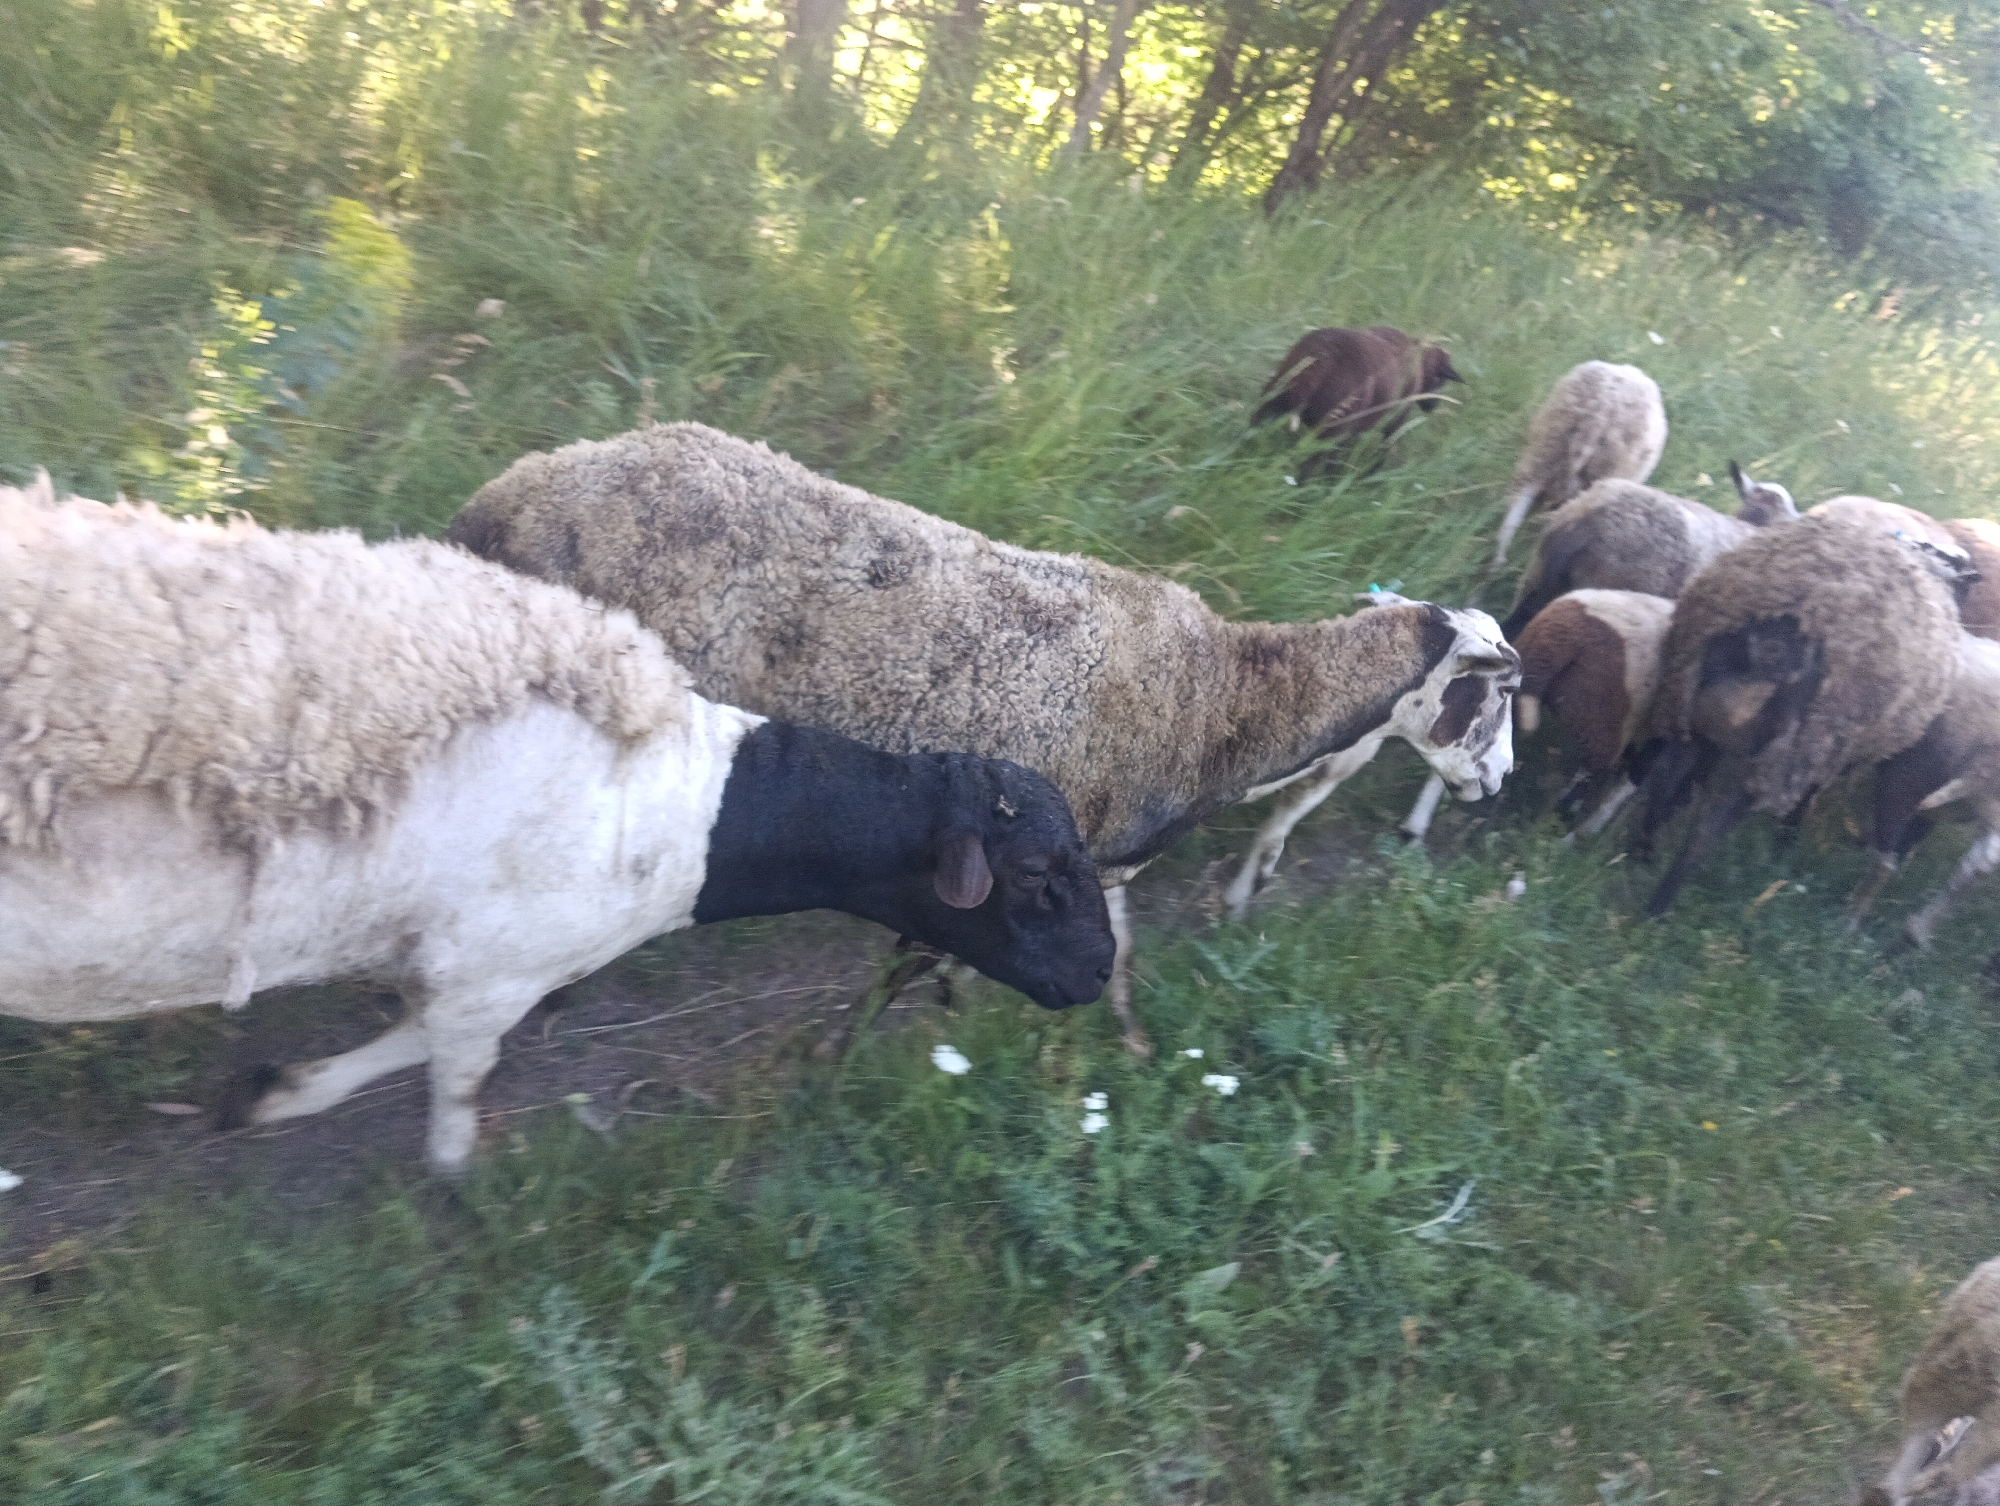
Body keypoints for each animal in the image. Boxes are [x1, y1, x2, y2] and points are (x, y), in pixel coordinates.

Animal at [0, 476, 1116, 1171]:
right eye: (1034, 876)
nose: (1099, 975)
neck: (692, 805)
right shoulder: (494, 962)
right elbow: (450, 1076)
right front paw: (452, 1177)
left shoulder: (460, 955)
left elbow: (412, 1038)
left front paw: (280, 1091)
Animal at [446, 423, 1521, 1055]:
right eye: (1496, 693)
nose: (1501, 786)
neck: (1226, 703)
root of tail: (507, 496)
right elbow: (919, 965)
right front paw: (856, 1050)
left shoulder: (1092, 864)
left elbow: (1111, 957)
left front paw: (1115, 1042)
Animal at [1251, 325, 1462, 472]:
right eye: (1442, 378)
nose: (1433, 405)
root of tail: (1323, 356)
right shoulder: (1395, 417)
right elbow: (1384, 447)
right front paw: (1373, 473)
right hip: (1332, 428)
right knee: (1311, 467)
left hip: (1272, 400)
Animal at [1636, 514, 1963, 917]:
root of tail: (1786, 623)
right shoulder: (1825, 753)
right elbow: (1805, 800)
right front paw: (1784, 847)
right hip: (1787, 751)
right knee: (1707, 828)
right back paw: (1658, 907)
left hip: (1684, 700)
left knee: (1665, 775)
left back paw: (1642, 855)